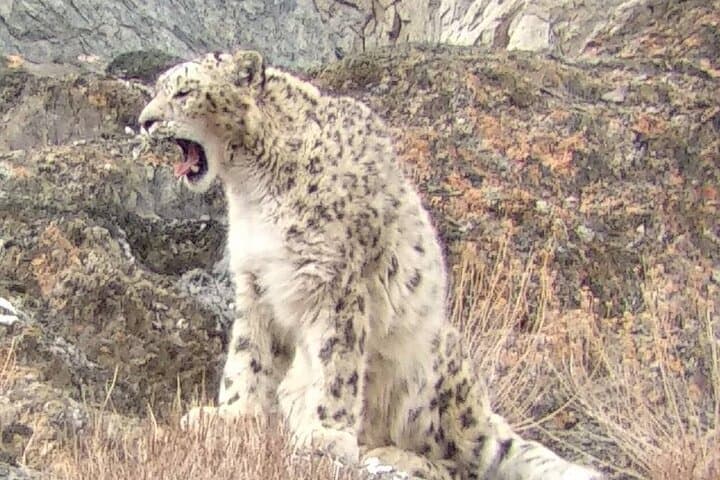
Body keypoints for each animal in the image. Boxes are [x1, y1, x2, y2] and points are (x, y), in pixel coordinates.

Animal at [137, 49, 603, 480]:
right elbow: (249, 355)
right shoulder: (257, 281)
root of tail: (481, 414)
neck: (252, 189)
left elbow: (338, 361)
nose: (144, 122)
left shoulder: (337, 280)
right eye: (158, 90)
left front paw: (325, 434)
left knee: (458, 463)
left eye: (184, 92)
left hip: (426, 376)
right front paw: (230, 417)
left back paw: (390, 454)